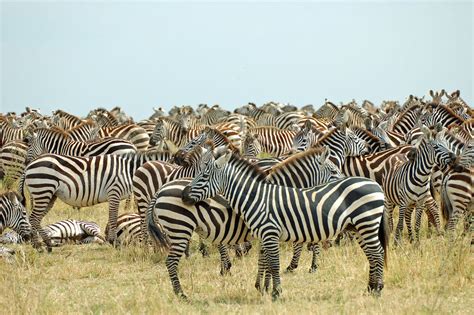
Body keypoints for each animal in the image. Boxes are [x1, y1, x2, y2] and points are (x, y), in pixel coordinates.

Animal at [20, 151, 173, 252]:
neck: (129, 170)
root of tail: (29, 165)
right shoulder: (114, 192)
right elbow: (113, 218)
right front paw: (113, 241)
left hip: (49, 195)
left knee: (36, 219)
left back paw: (47, 243)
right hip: (43, 189)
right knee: (33, 218)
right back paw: (38, 246)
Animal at [181, 151, 388, 302]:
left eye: (204, 176)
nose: (183, 195)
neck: (257, 199)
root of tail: (376, 184)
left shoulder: (269, 233)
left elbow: (273, 264)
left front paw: (275, 292)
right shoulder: (264, 235)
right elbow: (265, 261)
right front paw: (264, 288)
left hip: (367, 223)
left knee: (377, 253)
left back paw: (378, 289)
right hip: (359, 227)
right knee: (372, 254)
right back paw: (370, 288)